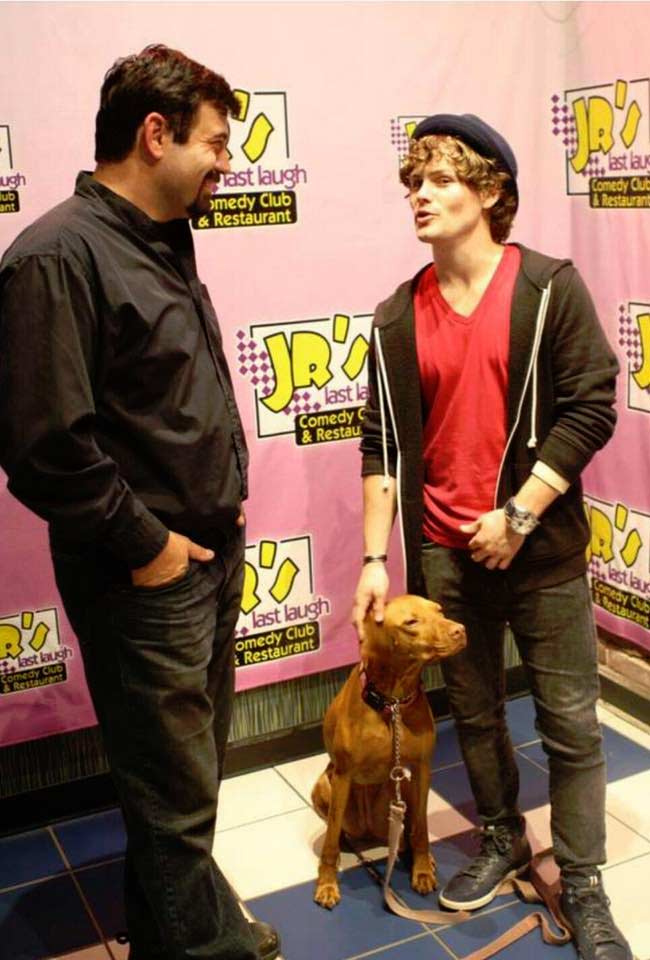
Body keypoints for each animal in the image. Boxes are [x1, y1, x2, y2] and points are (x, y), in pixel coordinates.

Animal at [312, 594, 466, 909]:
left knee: (409, 828)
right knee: (338, 830)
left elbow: (421, 829)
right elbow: (331, 841)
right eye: (411, 622)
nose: (460, 630)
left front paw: (421, 869)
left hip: (403, 789)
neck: (392, 701)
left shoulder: (422, 768)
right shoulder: (343, 775)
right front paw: (327, 883)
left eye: (439, 611)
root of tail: (371, 833)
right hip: (324, 786)